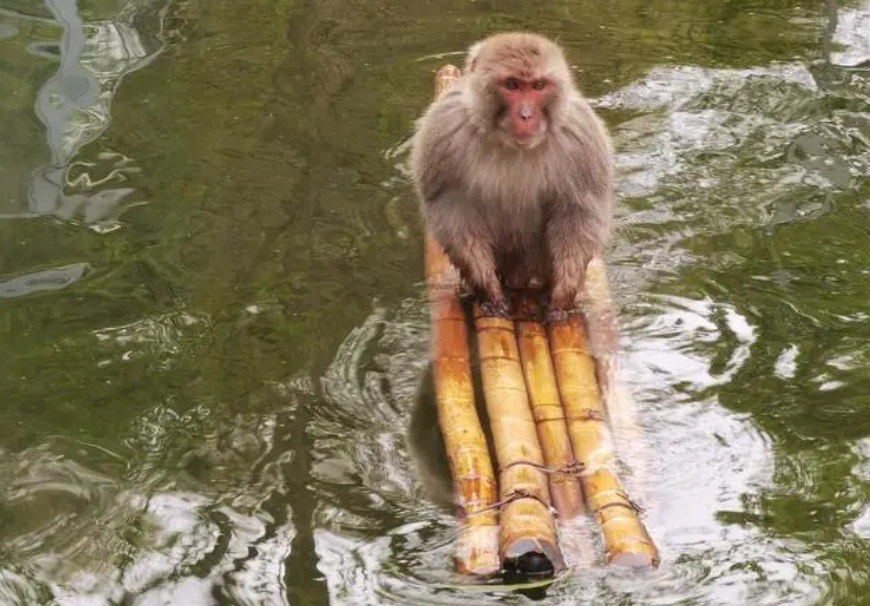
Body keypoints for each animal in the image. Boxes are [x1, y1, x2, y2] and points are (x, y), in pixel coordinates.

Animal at [412, 32, 616, 324]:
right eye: (512, 85)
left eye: (538, 86)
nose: (526, 115)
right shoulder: (445, 129)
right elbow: (452, 211)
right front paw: (488, 292)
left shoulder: (582, 138)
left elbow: (578, 215)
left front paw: (562, 297)